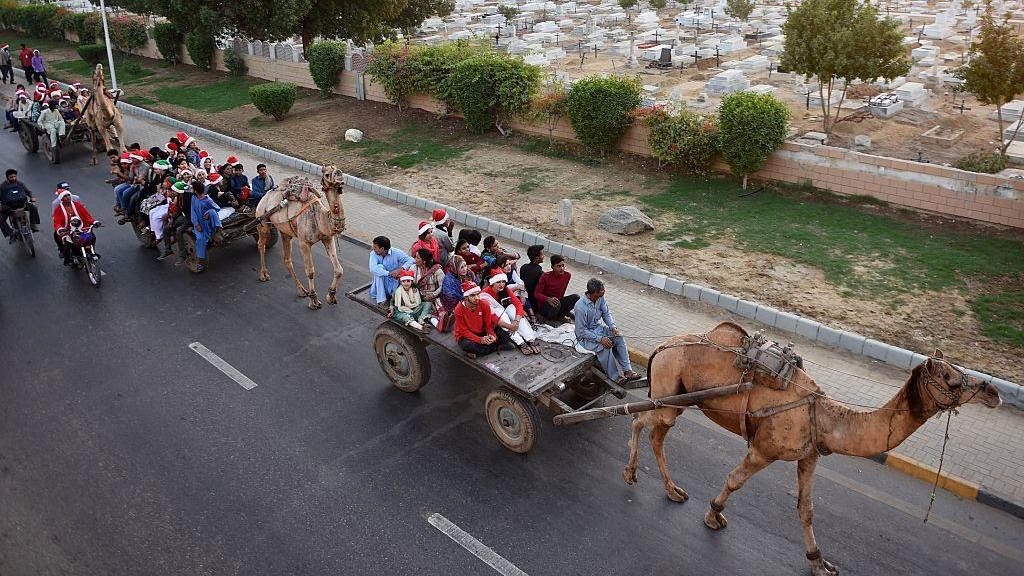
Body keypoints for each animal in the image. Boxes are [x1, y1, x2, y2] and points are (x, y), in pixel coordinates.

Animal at [253, 165, 346, 309]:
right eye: (326, 174)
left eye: (338, 169)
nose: (339, 175)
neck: (320, 218)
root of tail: (264, 196)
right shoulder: (304, 243)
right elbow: (310, 271)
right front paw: (314, 301)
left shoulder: (327, 238)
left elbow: (339, 269)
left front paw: (331, 297)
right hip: (262, 221)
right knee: (261, 245)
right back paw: (263, 275)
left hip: (285, 232)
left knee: (287, 259)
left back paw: (302, 290)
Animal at [618, 319, 1003, 569]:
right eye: (949, 377)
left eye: (961, 369)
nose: (993, 391)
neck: (824, 416)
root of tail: (660, 346)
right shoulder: (764, 450)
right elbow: (734, 480)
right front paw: (713, 515)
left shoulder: (809, 456)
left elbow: (806, 509)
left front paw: (820, 563)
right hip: (668, 392)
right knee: (639, 420)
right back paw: (632, 474)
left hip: (677, 398)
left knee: (655, 432)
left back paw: (672, 490)